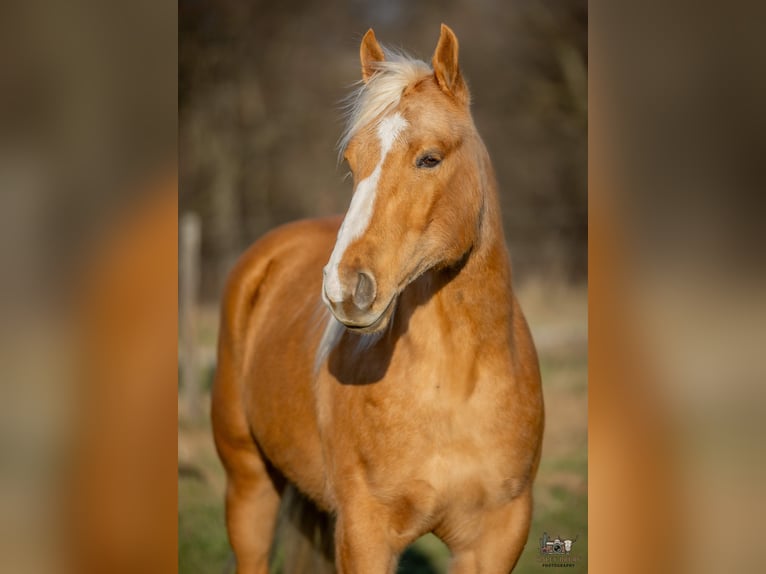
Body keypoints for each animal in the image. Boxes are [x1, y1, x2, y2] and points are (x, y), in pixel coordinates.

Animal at [212, 24, 544, 574]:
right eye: (353, 163)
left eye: (430, 158)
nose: (344, 289)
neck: (455, 384)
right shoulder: (365, 534)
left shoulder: (496, 538)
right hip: (249, 482)